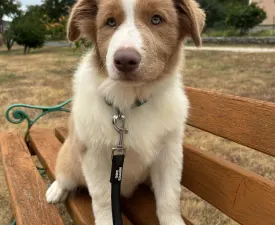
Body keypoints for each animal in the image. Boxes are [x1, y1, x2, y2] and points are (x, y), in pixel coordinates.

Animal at [45, 0, 205, 224]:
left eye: (156, 19)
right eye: (110, 22)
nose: (125, 61)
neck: (129, 102)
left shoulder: (169, 153)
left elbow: (169, 196)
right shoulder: (94, 155)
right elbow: (103, 199)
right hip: (70, 157)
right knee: (65, 174)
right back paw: (57, 190)